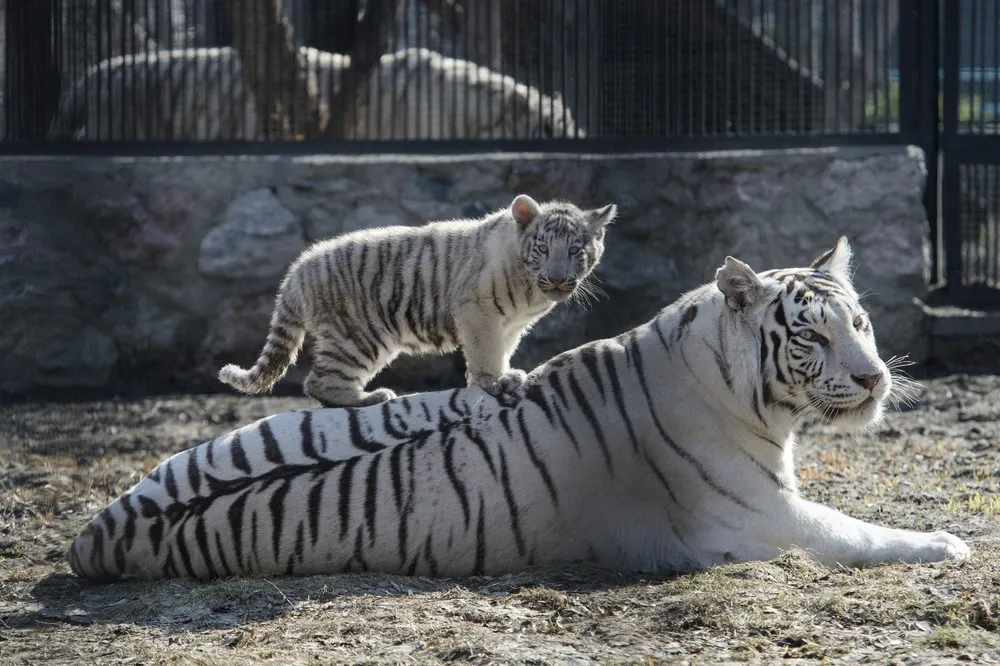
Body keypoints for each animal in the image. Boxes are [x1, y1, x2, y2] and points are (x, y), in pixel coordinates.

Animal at [68, 236, 968, 580]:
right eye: (810, 337)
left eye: (859, 324)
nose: (874, 381)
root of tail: (92, 532)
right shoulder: (766, 521)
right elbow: (864, 534)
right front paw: (949, 543)